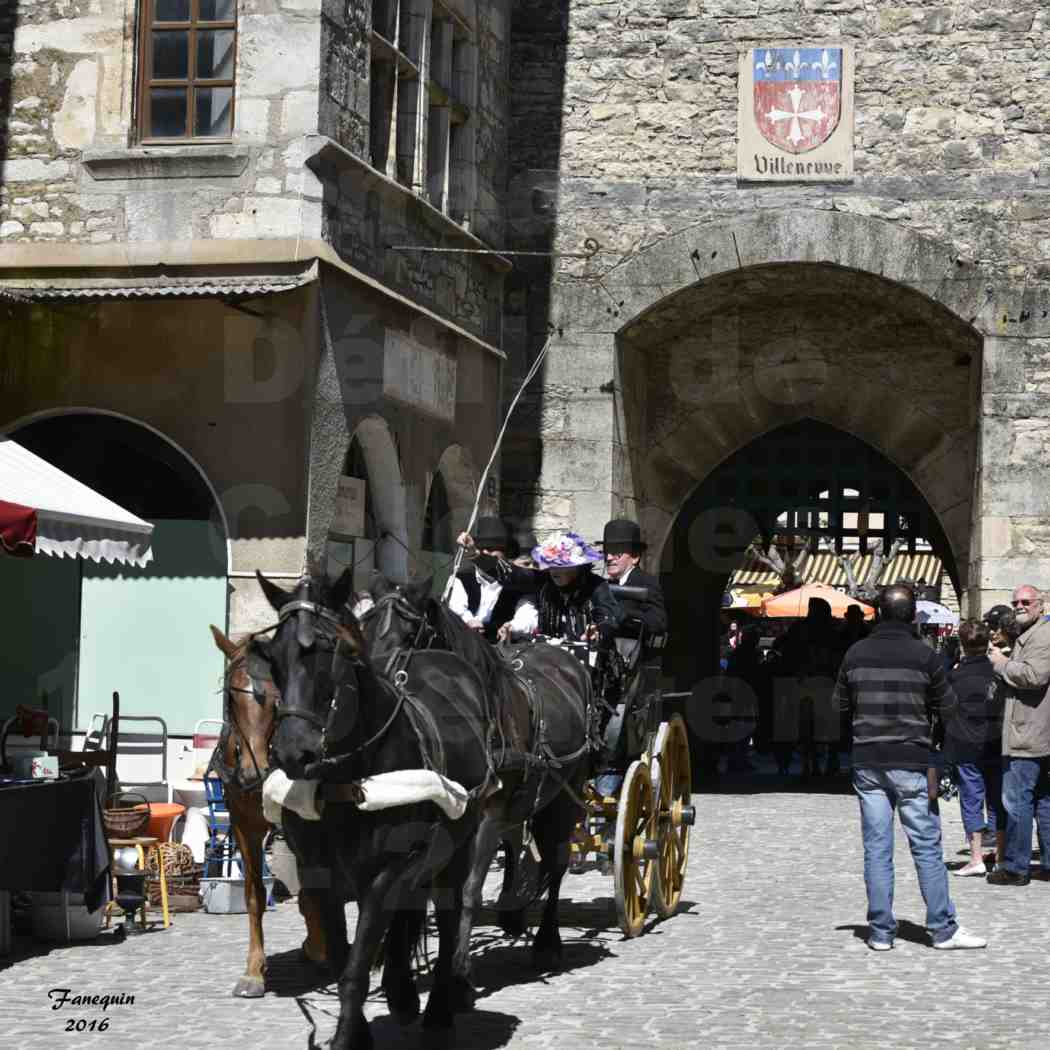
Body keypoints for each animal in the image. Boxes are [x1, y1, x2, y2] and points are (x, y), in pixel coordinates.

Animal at [205, 625, 333, 995]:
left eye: (277, 699)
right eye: (232, 698)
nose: (253, 773)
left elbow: (312, 892)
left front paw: (320, 949)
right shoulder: (244, 825)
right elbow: (254, 895)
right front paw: (253, 970)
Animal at [253, 575, 491, 1050]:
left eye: (333, 649)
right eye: (272, 657)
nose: (292, 751)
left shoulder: (385, 872)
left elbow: (357, 966)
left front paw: (348, 1037)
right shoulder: (318, 873)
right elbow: (341, 958)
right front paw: (359, 1029)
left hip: (454, 849)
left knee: (450, 914)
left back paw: (439, 1012)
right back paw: (402, 994)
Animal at [356, 575, 596, 991]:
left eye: (410, 633)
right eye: (366, 627)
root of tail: (568, 661)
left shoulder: (485, 814)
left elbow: (467, 889)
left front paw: (458, 969)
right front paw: (388, 962)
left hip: (568, 791)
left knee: (557, 860)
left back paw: (547, 941)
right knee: (517, 841)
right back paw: (512, 914)